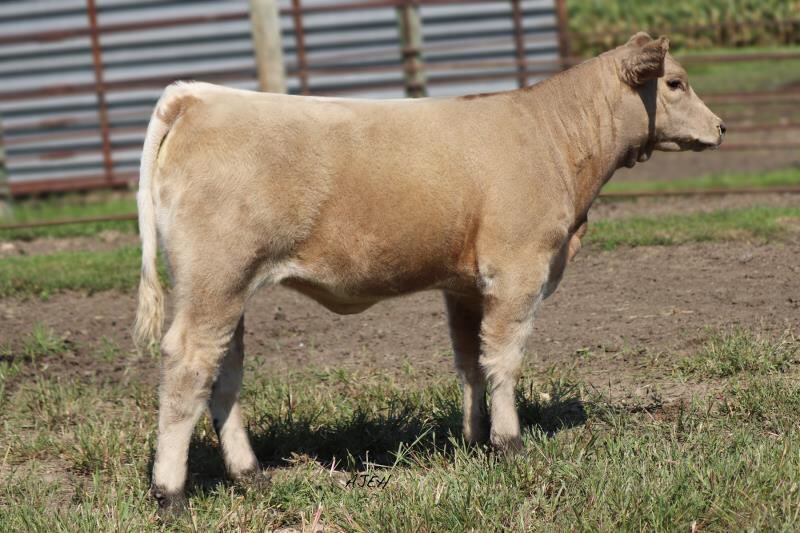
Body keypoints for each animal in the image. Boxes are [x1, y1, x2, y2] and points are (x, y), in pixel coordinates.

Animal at [133, 32, 725, 512]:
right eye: (675, 82)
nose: (720, 127)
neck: (554, 137)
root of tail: (199, 95)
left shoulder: (464, 284)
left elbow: (470, 360)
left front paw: (473, 438)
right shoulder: (518, 269)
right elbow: (504, 359)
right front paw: (511, 445)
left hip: (228, 287)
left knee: (224, 371)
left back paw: (249, 474)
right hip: (216, 279)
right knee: (188, 365)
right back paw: (171, 493)